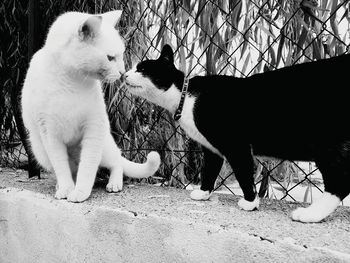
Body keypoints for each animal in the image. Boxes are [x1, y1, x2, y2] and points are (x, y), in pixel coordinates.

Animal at [22, 10, 162, 203]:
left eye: (121, 55)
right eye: (110, 58)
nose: (122, 73)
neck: (72, 82)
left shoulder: (94, 127)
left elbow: (87, 167)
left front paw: (80, 192)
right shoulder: (49, 134)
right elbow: (61, 167)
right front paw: (66, 189)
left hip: (104, 146)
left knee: (116, 161)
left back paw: (114, 184)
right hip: (40, 152)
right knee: (70, 170)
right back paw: (62, 185)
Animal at [125, 44, 350, 223]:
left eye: (142, 68)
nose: (124, 74)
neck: (185, 96)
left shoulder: (236, 144)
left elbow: (243, 174)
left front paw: (251, 202)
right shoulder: (211, 148)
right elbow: (210, 170)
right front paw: (203, 193)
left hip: (325, 140)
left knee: (340, 180)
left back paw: (311, 214)